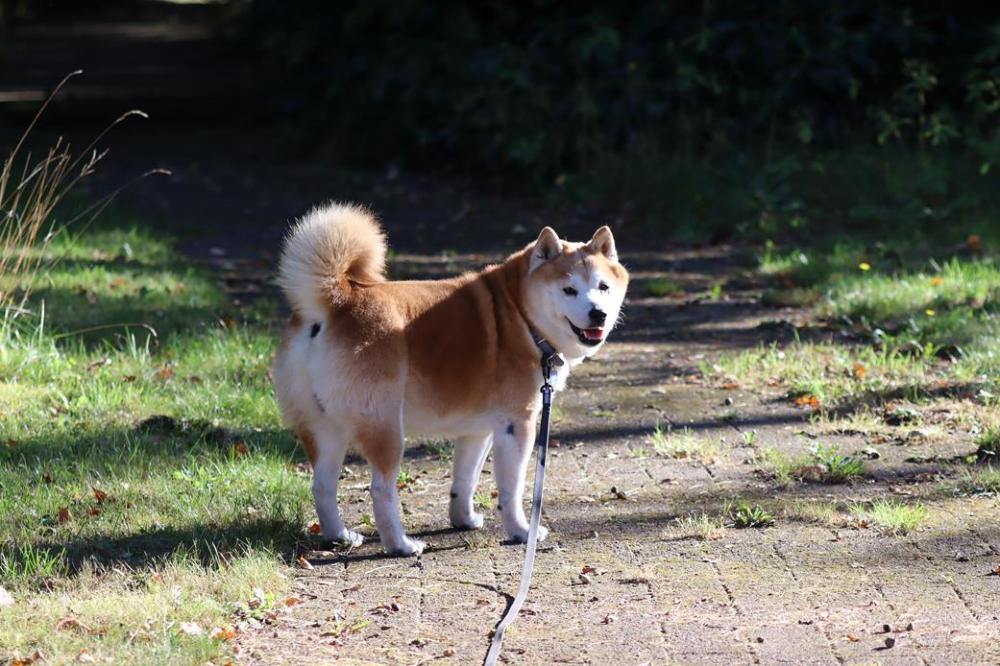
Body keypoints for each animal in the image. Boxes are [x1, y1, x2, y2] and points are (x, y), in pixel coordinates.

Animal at [271, 203, 628, 555]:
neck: (520, 313)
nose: (598, 314)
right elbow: (511, 490)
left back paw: (340, 536)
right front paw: (522, 531)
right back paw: (401, 544)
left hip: (325, 428)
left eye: (603, 287)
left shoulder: (479, 430)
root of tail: (334, 303)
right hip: (385, 429)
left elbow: (465, 481)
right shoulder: (518, 425)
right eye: (569, 289)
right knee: (381, 489)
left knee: (322, 485)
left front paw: (463, 519)